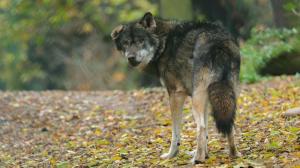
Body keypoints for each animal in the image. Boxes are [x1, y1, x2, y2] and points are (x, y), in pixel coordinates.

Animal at [111, 12, 240, 164]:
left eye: (140, 41)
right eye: (125, 43)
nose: (131, 57)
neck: (163, 44)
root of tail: (219, 43)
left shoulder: (175, 94)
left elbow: (176, 133)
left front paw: (171, 155)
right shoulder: (205, 99)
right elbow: (208, 131)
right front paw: (206, 154)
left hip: (196, 100)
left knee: (200, 127)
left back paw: (197, 159)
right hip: (226, 95)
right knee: (229, 123)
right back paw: (233, 154)